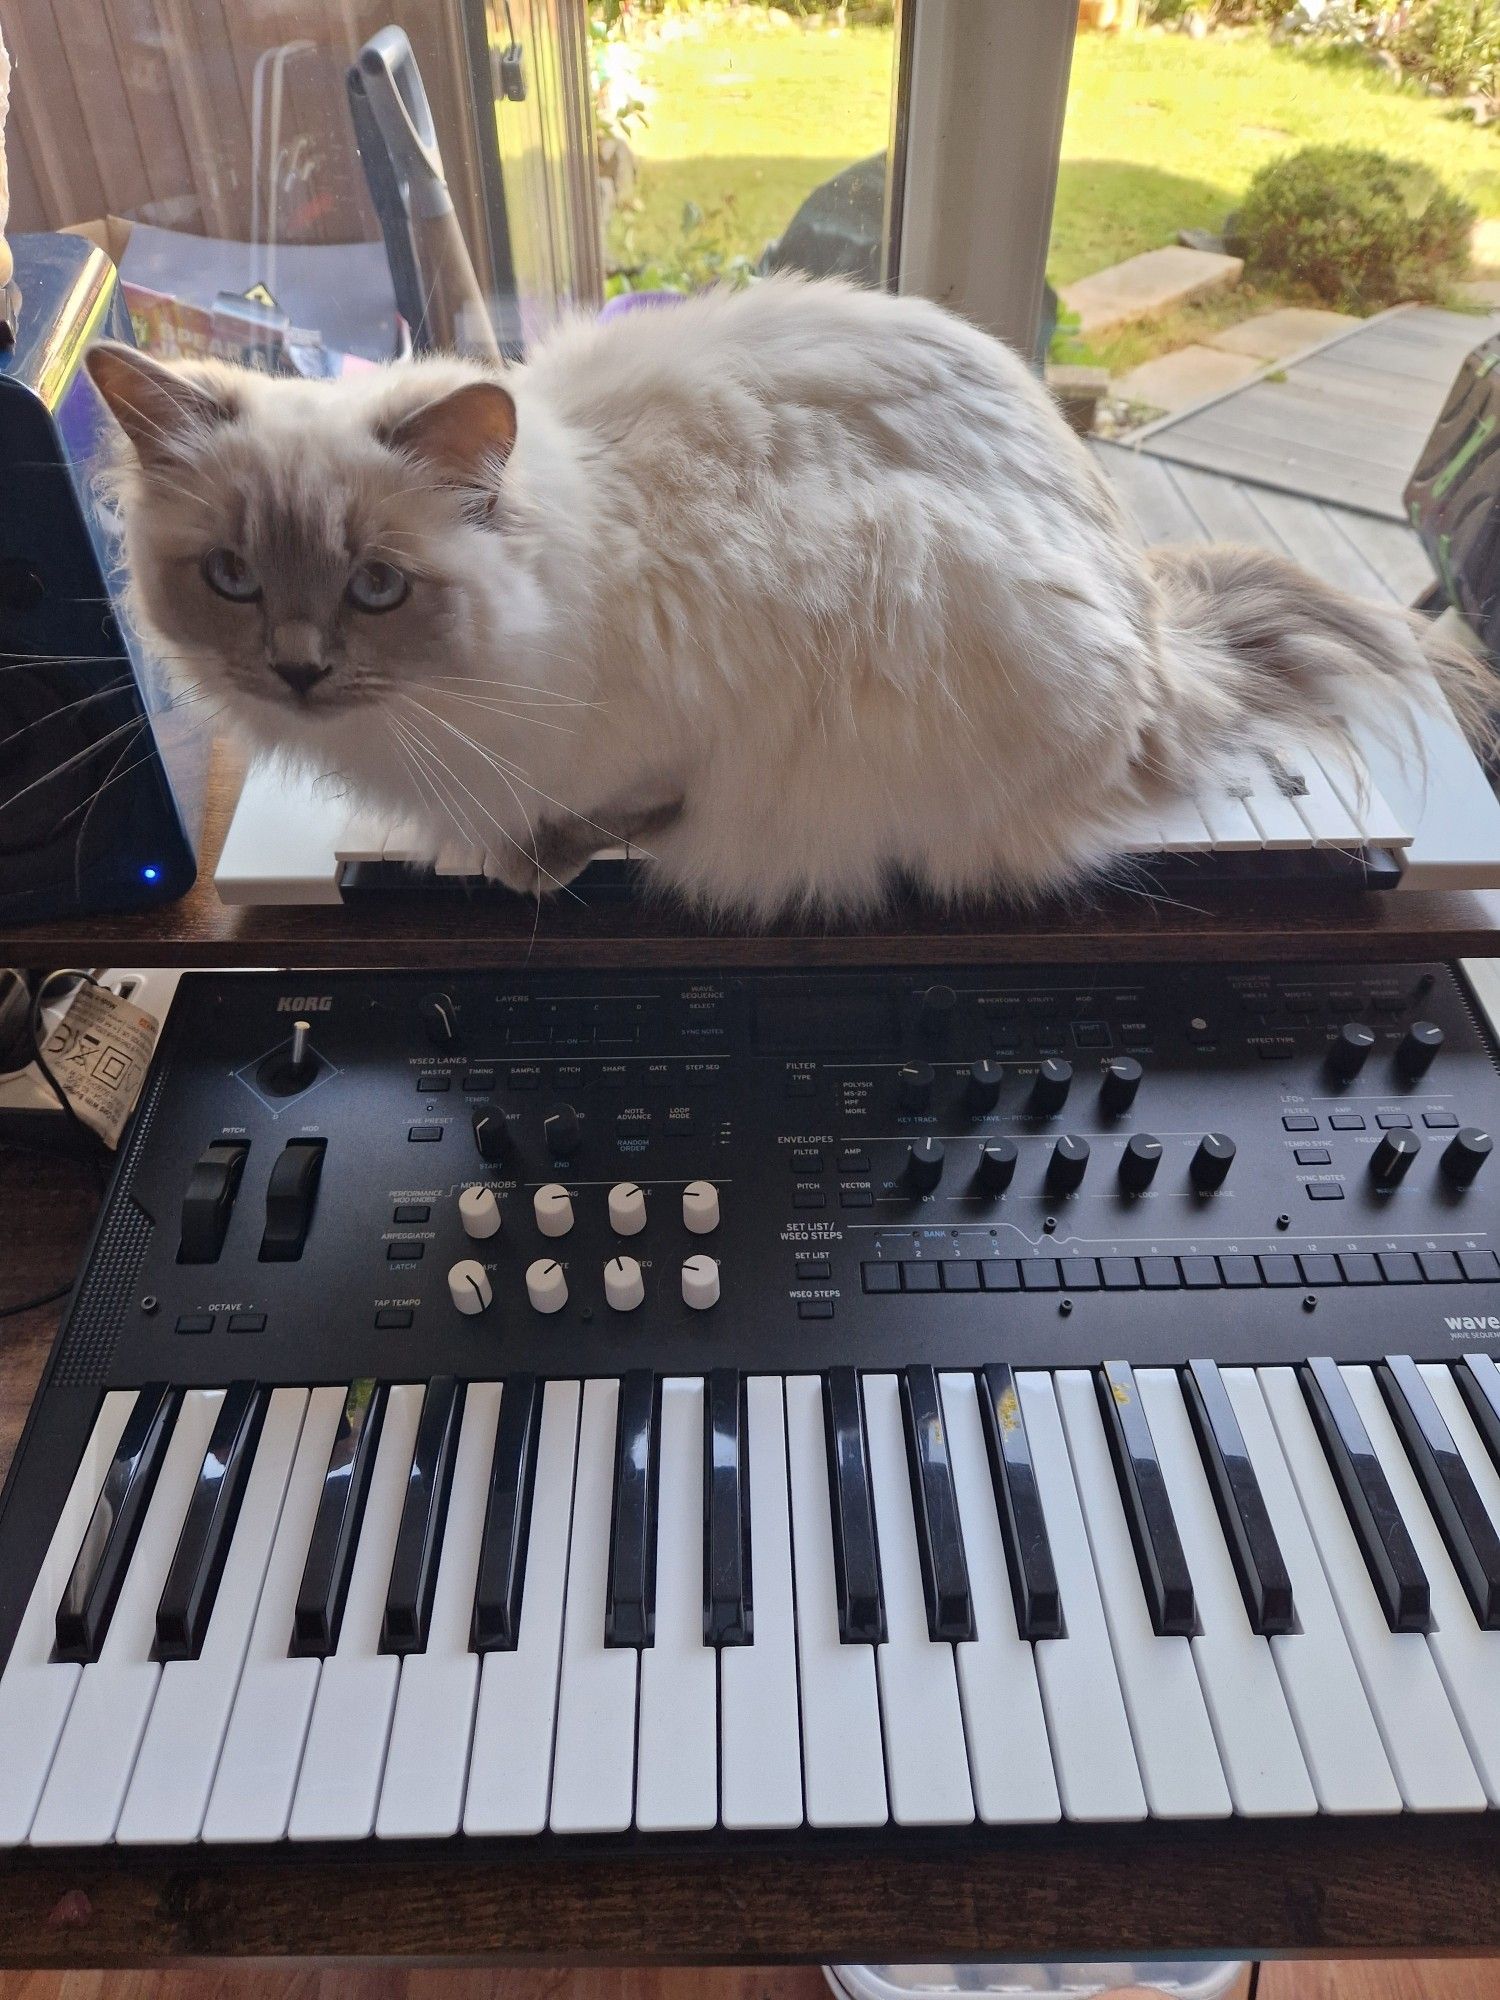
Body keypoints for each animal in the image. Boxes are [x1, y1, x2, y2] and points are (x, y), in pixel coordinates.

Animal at [85, 274, 1496, 916]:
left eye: (377, 586)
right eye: (231, 579)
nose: (296, 669)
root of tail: (1160, 656)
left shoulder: (665, 730)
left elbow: (615, 816)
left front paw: (536, 861)